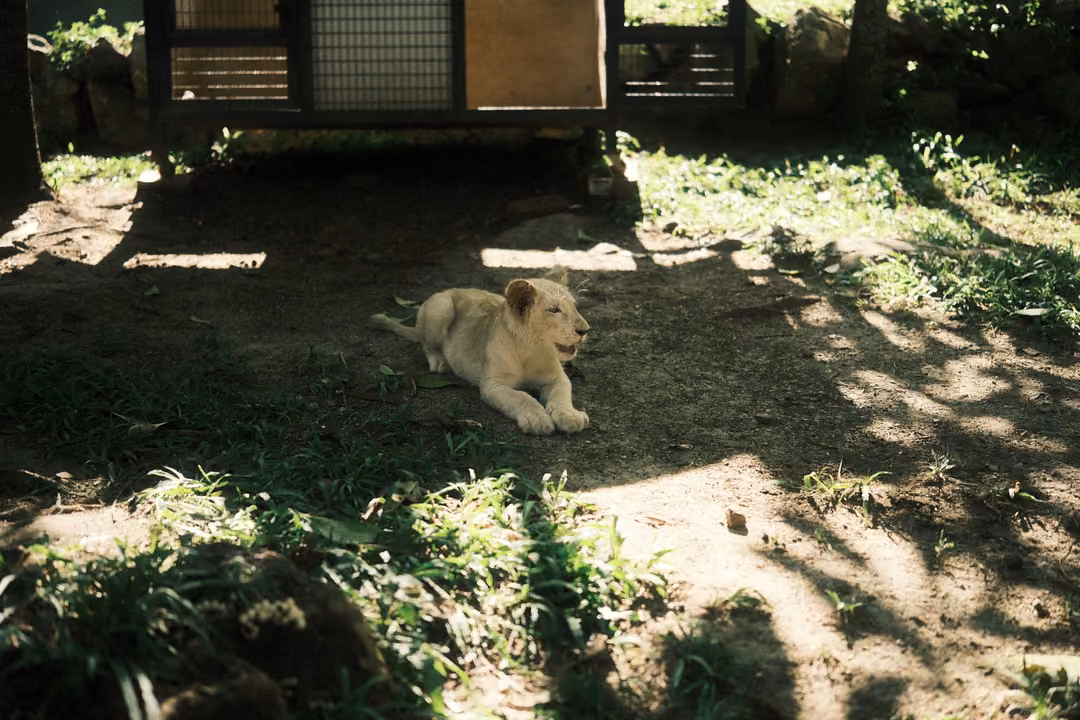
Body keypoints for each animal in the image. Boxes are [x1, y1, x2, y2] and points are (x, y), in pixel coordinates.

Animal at [370, 268, 590, 435]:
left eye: (575, 306)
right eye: (554, 310)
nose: (585, 330)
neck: (532, 349)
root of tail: (452, 289)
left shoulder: (557, 378)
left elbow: (562, 395)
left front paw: (570, 416)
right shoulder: (491, 384)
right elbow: (521, 397)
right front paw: (536, 418)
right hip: (441, 309)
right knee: (426, 342)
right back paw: (440, 361)